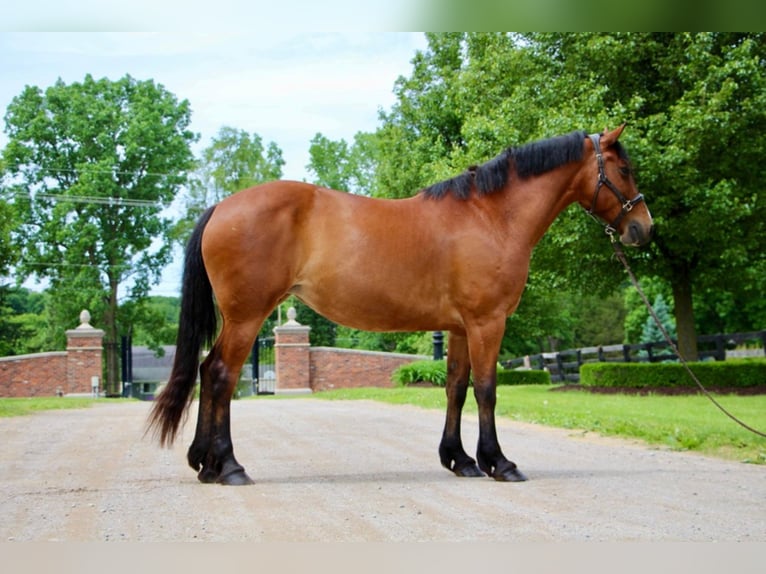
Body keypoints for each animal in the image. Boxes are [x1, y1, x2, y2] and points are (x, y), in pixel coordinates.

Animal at [148, 125, 656, 486]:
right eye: (624, 170)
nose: (644, 229)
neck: (490, 216)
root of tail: (221, 208)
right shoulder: (487, 322)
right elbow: (487, 390)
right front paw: (499, 462)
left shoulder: (459, 327)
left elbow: (456, 387)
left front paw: (460, 460)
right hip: (247, 316)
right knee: (220, 376)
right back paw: (229, 467)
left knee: (207, 370)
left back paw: (204, 463)